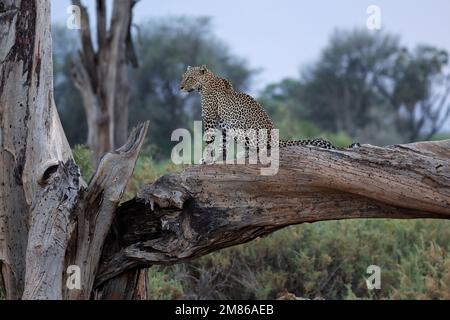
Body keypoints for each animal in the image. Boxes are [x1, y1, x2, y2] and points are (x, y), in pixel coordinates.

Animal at [179, 64, 358, 162]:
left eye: (189, 78)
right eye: (183, 77)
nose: (180, 87)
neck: (205, 83)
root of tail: (277, 136)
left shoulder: (210, 119)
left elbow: (209, 142)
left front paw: (206, 159)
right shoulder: (223, 125)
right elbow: (223, 144)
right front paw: (217, 159)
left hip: (242, 130)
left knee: (263, 150)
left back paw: (244, 154)